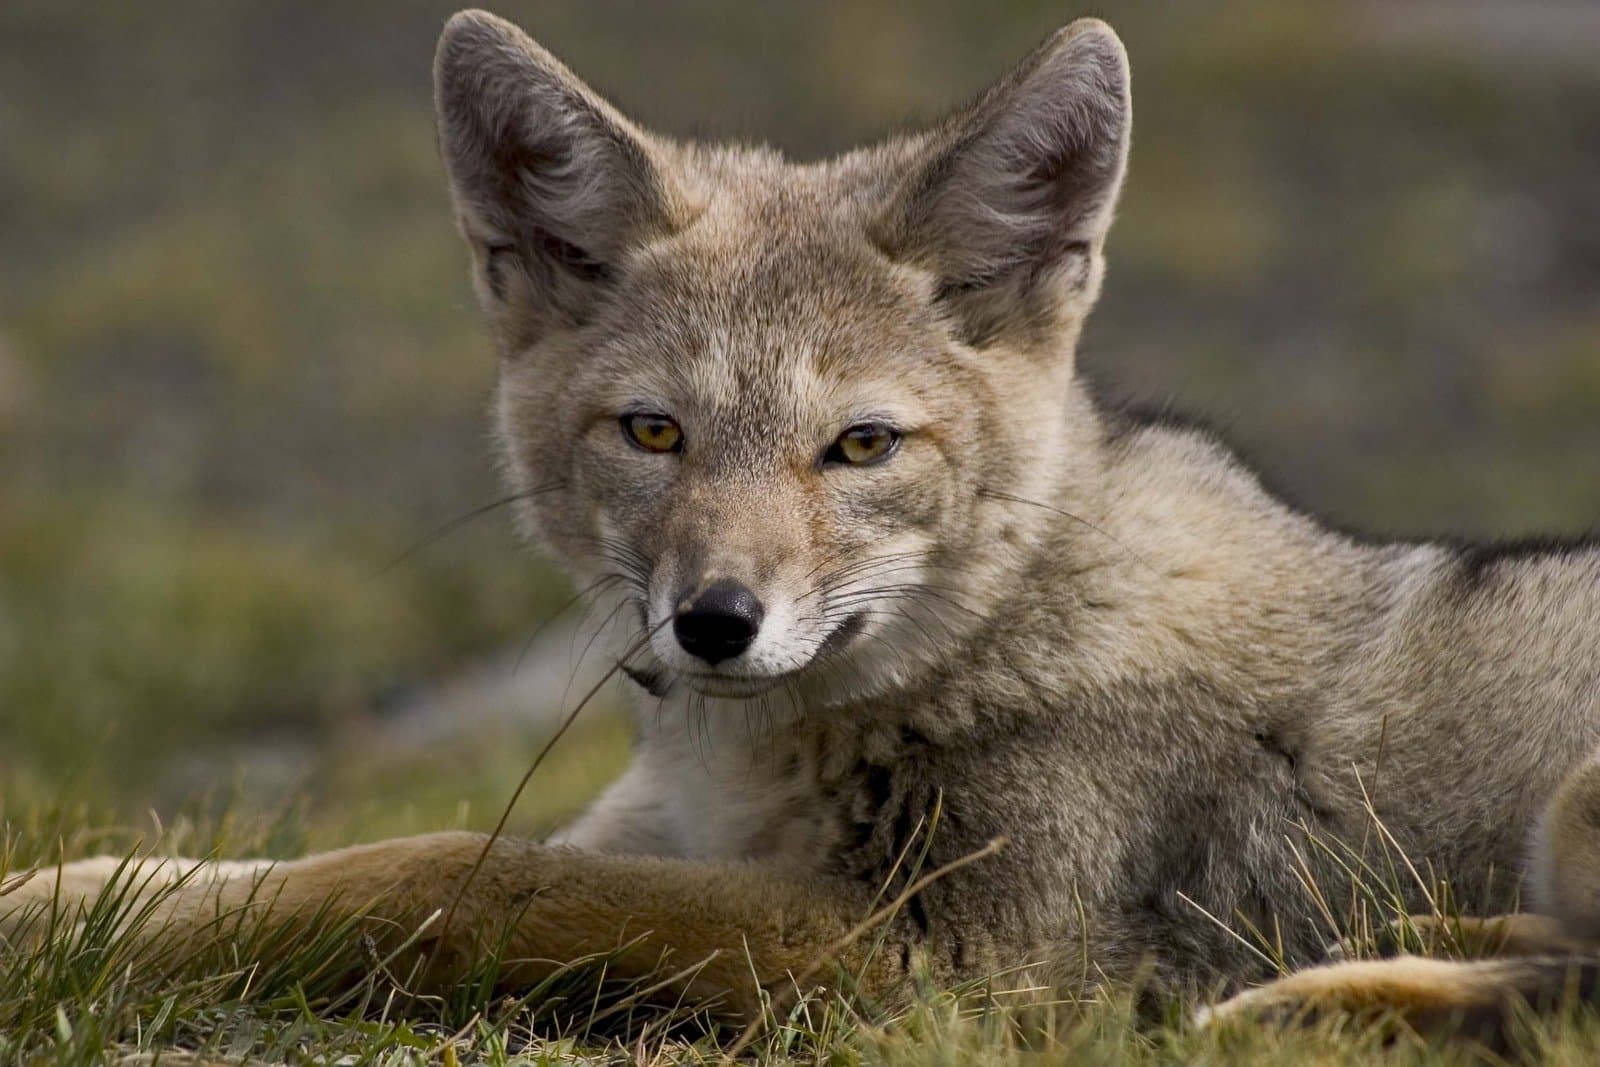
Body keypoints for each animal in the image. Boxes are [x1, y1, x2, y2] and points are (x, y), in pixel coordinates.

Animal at [4, 7, 1599, 1042]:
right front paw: (69, 893)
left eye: (860, 445)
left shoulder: (951, 970)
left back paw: (1289, 1002)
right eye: (654, 432)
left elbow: (453, 874)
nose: (715, 621)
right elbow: (308, 861)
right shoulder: (668, 836)